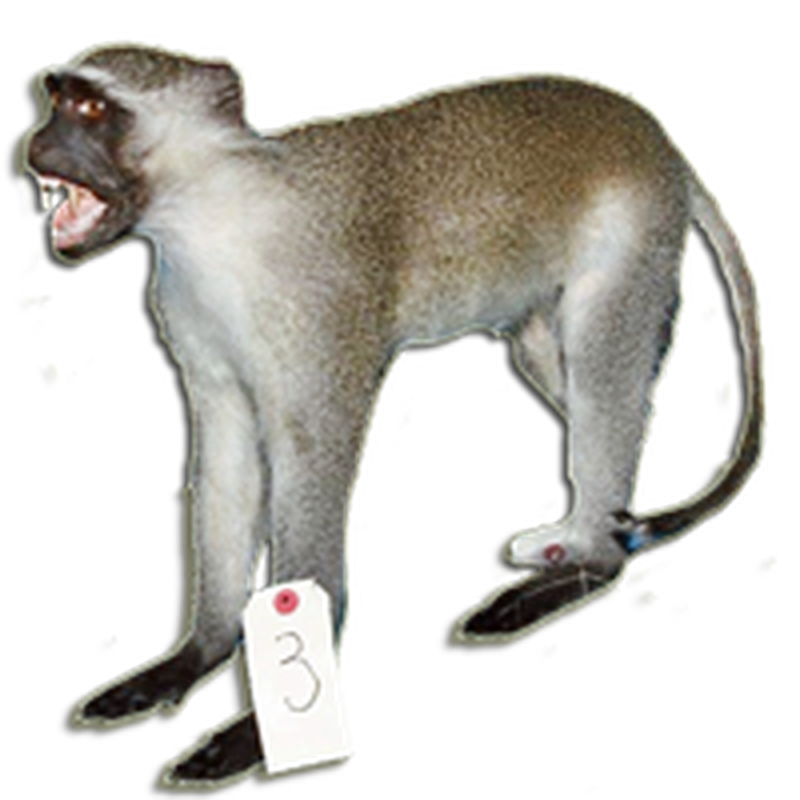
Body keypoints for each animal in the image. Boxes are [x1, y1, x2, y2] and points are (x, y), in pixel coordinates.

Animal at [17, 43, 769, 789]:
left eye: (93, 109)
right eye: (59, 101)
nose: (39, 143)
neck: (215, 215)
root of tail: (655, 134)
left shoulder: (321, 323)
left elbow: (312, 470)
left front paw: (269, 729)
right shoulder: (196, 323)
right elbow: (229, 468)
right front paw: (194, 656)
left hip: (635, 232)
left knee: (600, 365)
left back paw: (593, 562)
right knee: (560, 366)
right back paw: (594, 535)